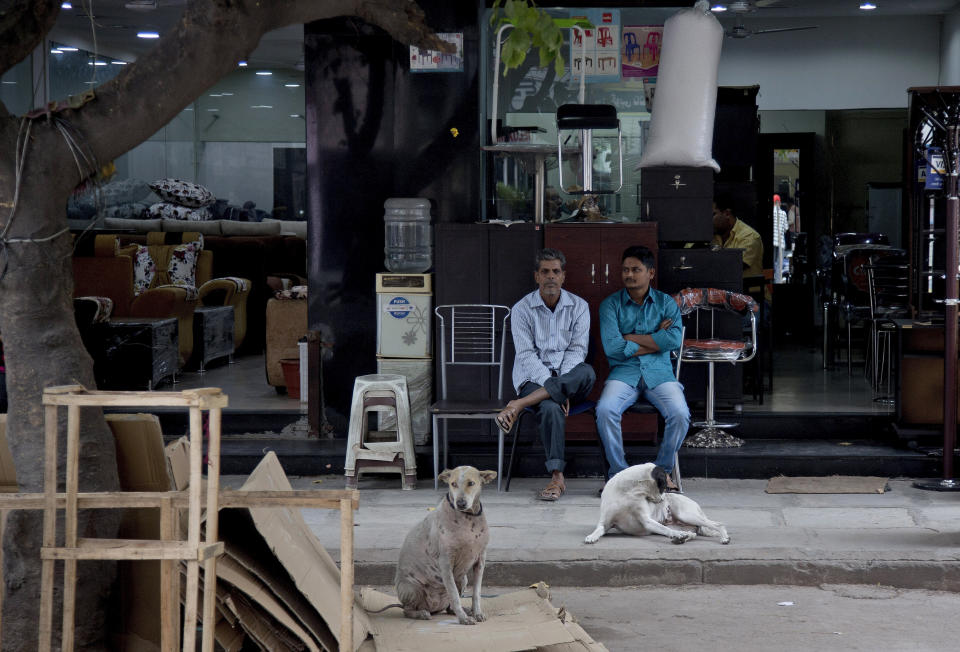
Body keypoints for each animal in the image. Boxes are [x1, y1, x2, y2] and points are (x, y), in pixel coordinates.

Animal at [584, 464, 728, 544]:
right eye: (664, 487)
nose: (665, 499)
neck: (627, 492)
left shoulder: (646, 520)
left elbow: (666, 530)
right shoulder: (605, 523)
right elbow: (598, 530)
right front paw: (591, 537)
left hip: (686, 515)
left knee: (718, 524)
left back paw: (724, 538)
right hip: (683, 523)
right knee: (691, 534)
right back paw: (681, 538)